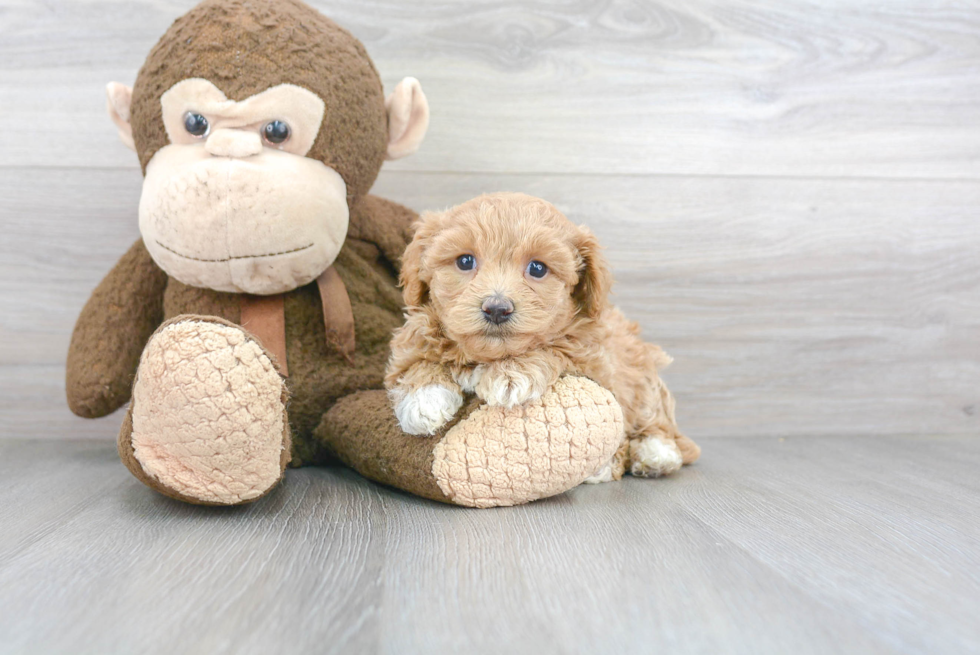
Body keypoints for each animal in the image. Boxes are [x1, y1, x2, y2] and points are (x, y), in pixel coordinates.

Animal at [382, 192, 696, 480]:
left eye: (537, 268)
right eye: (465, 261)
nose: (497, 308)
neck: (487, 356)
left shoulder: (596, 359)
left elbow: (555, 348)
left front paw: (511, 375)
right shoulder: (412, 339)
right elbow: (417, 362)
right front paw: (424, 400)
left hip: (643, 379)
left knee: (656, 422)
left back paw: (654, 454)